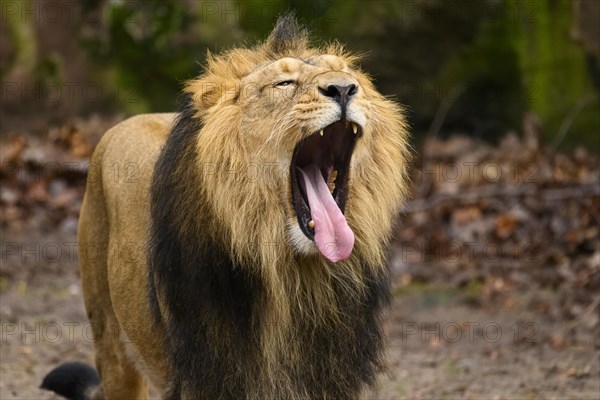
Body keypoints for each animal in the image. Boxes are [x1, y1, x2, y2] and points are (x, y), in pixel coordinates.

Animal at [41, 13, 408, 400]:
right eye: (284, 83)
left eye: (352, 78)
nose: (343, 89)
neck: (290, 275)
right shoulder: (206, 378)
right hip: (111, 344)